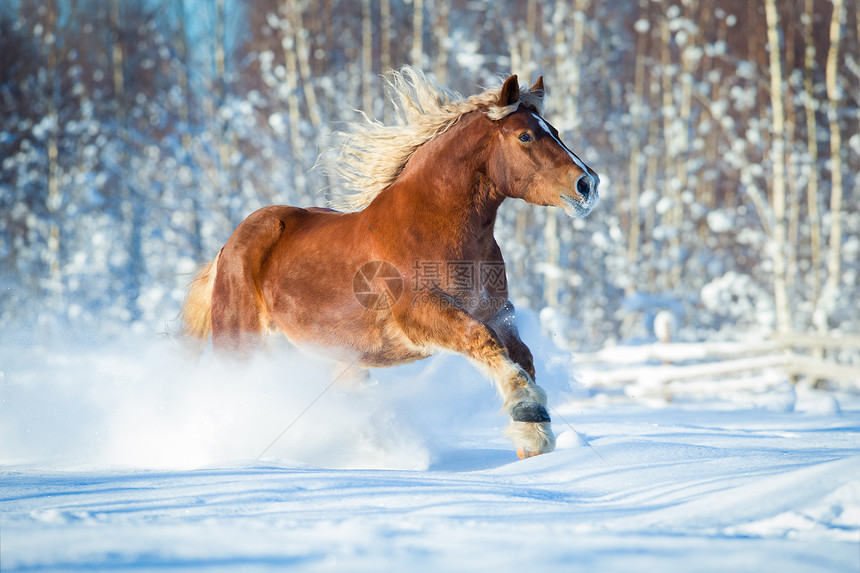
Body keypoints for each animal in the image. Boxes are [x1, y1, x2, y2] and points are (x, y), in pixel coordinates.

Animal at [181, 68, 596, 460]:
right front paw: (530, 420)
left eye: (555, 131)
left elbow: (521, 356)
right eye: (525, 137)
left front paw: (533, 443)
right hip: (241, 345)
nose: (588, 185)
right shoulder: (423, 315)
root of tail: (227, 248)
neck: (433, 225)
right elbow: (482, 341)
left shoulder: (497, 312)